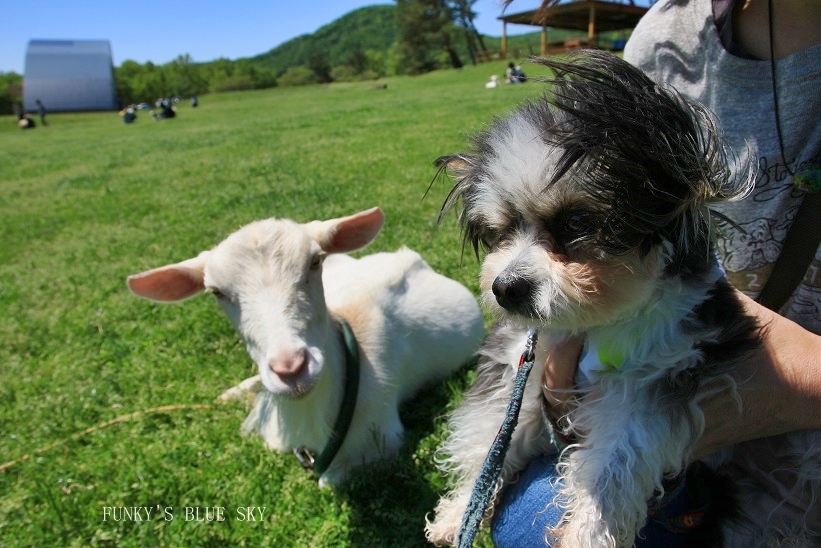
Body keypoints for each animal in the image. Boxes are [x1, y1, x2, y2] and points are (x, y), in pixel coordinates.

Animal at [426, 49, 816, 544]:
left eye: (577, 223)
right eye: (502, 230)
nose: (506, 288)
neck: (594, 324)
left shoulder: (648, 383)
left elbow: (614, 468)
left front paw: (587, 532)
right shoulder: (523, 369)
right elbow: (494, 440)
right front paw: (460, 511)